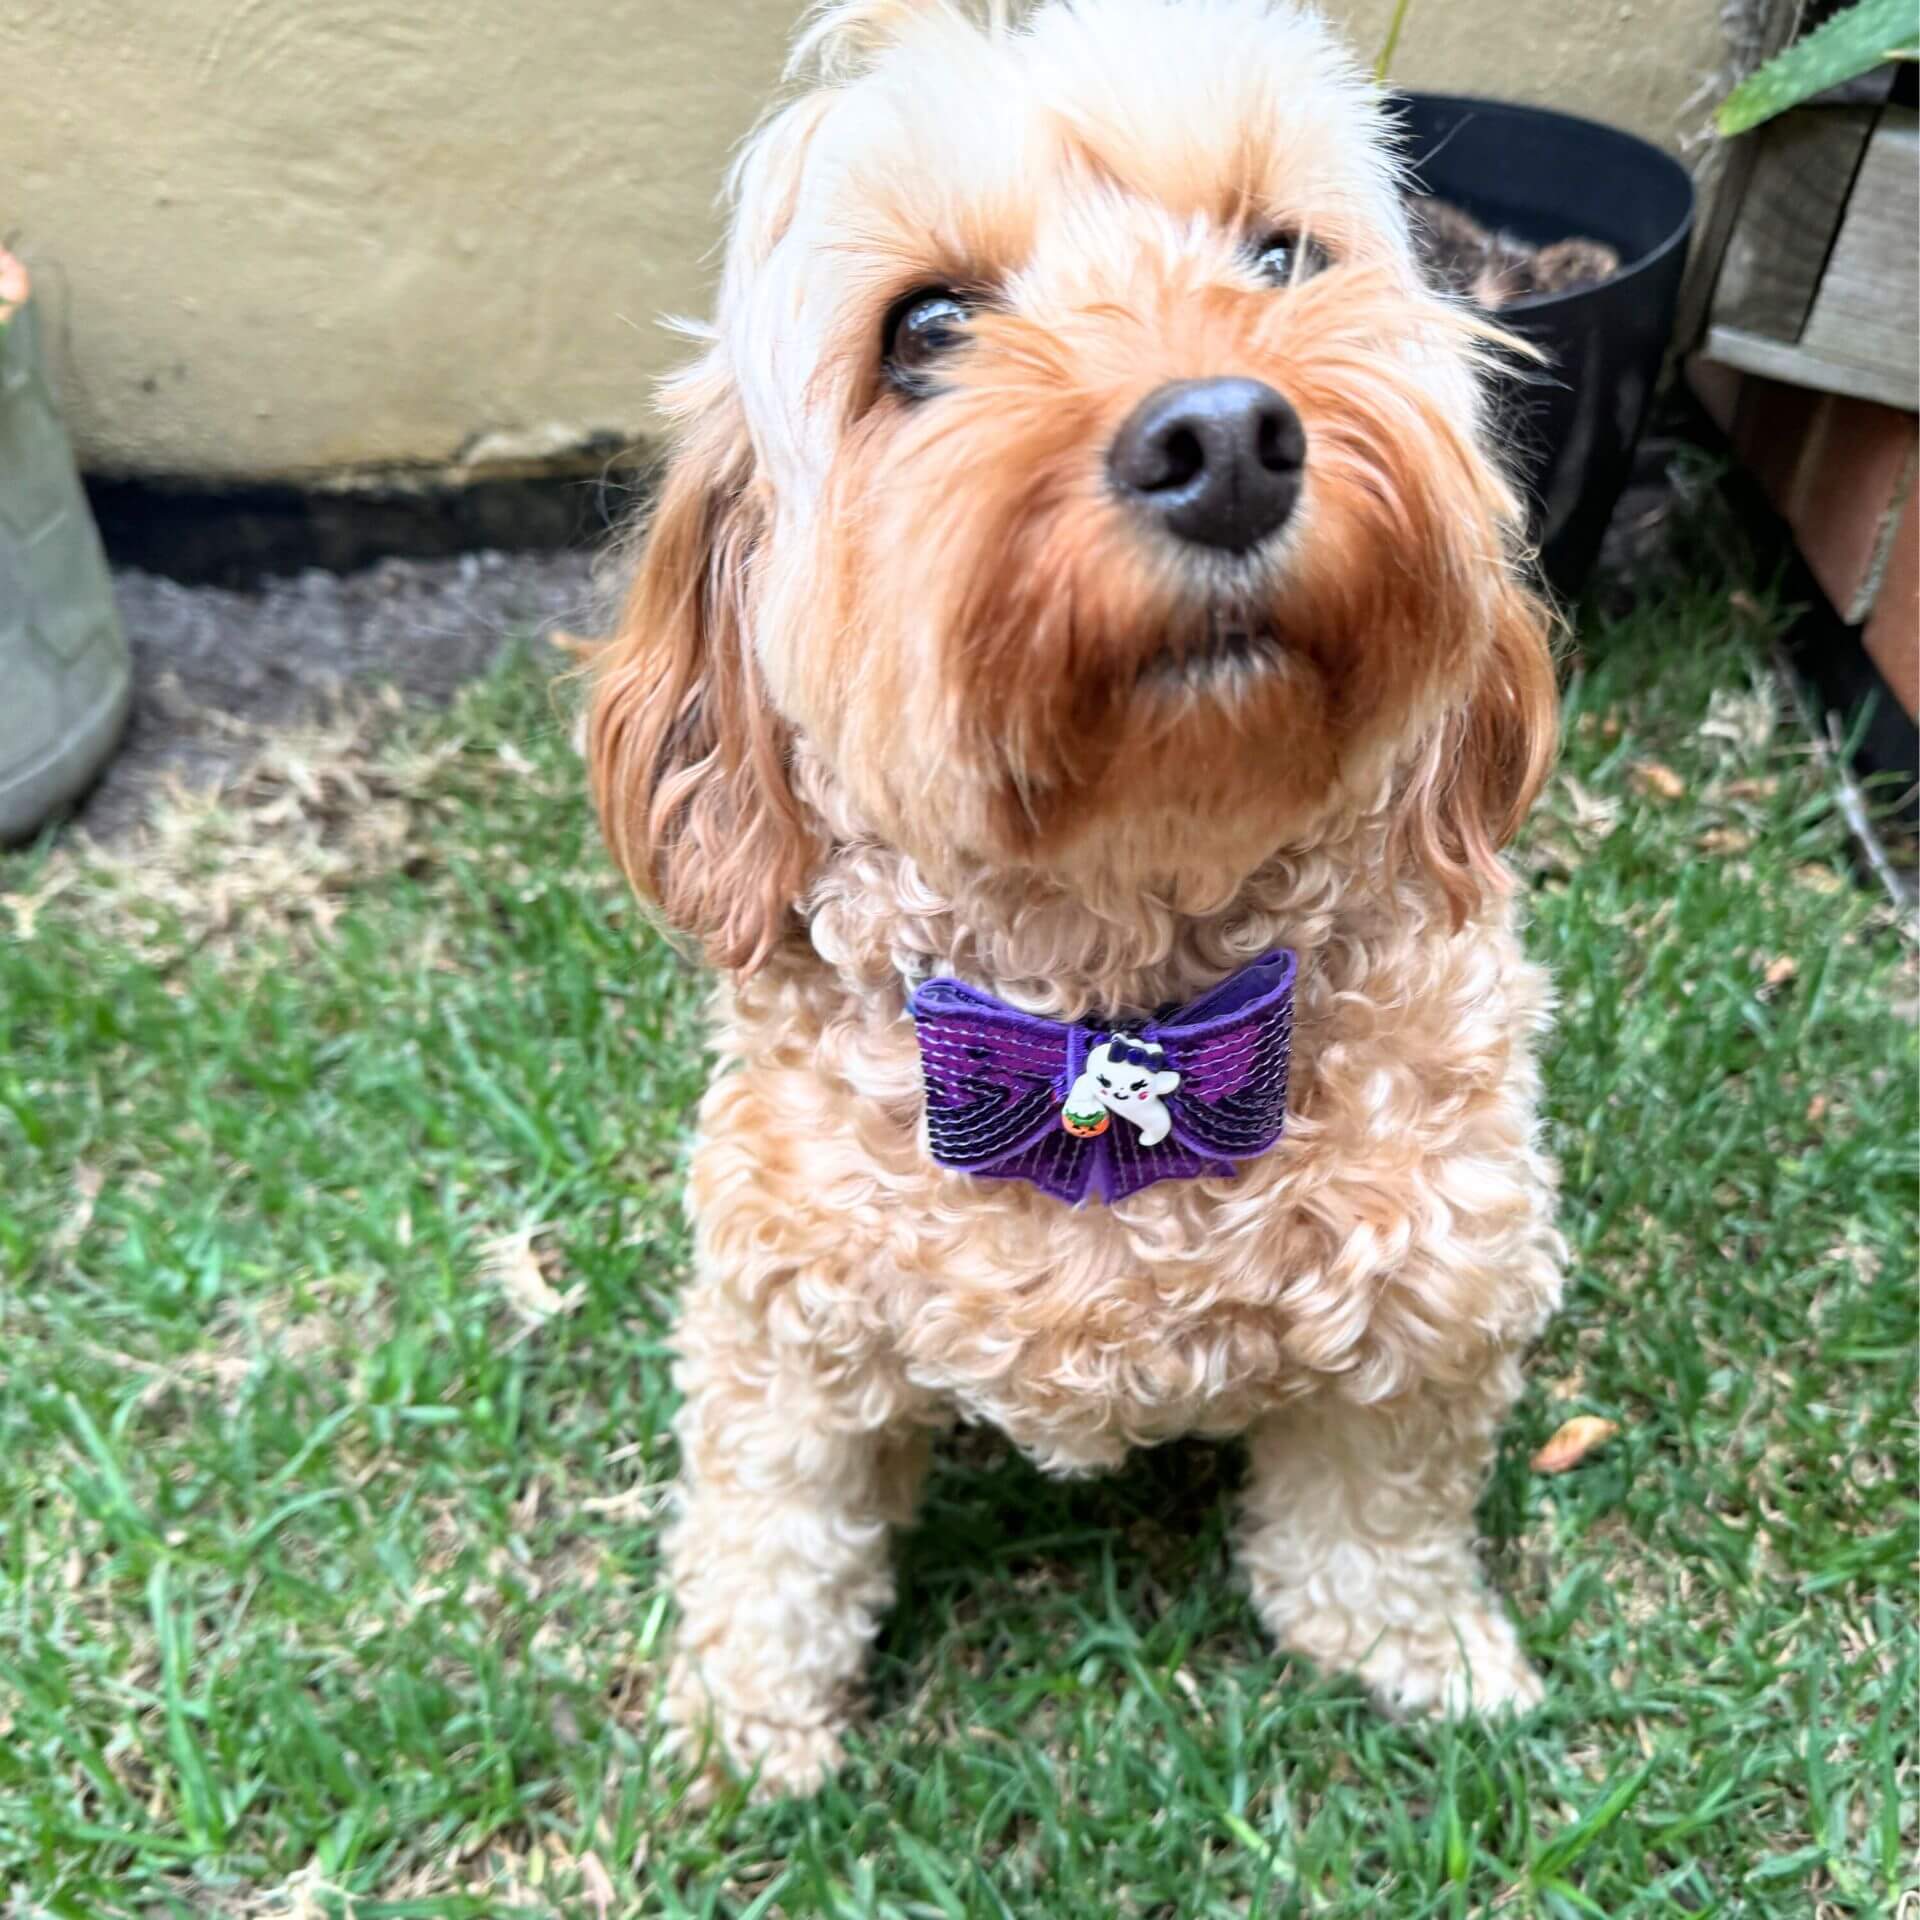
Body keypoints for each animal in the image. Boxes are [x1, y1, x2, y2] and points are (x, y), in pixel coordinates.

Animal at [591, 0, 1566, 1797]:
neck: (1112, 1005)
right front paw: (740, 1731)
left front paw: (1422, 1659)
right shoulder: (779, 1321)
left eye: (1279, 253)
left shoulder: (1442, 1283)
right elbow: (775, 1529)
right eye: (926, 330)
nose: (1227, 436)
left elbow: (1375, 1514)